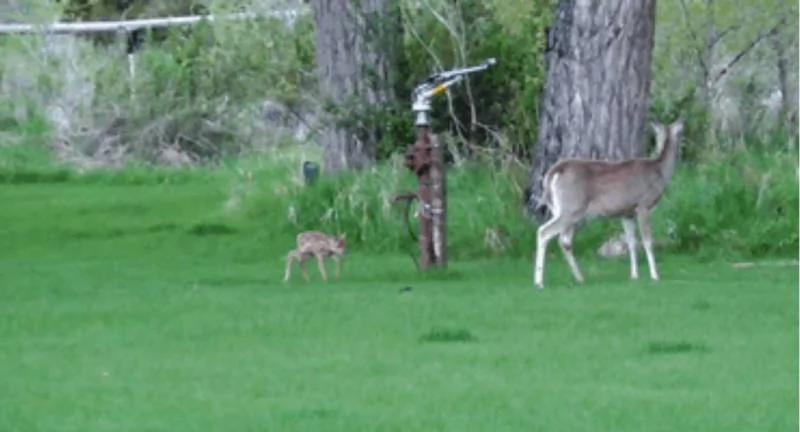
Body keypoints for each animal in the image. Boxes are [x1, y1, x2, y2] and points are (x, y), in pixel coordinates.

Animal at [533, 119, 685, 289]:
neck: (659, 171)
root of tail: (554, 172)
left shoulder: (627, 213)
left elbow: (631, 242)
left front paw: (634, 275)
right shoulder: (643, 205)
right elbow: (647, 241)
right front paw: (654, 275)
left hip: (560, 209)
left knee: (564, 240)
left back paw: (579, 278)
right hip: (571, 209)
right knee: (544, 232)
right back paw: (539, 282)